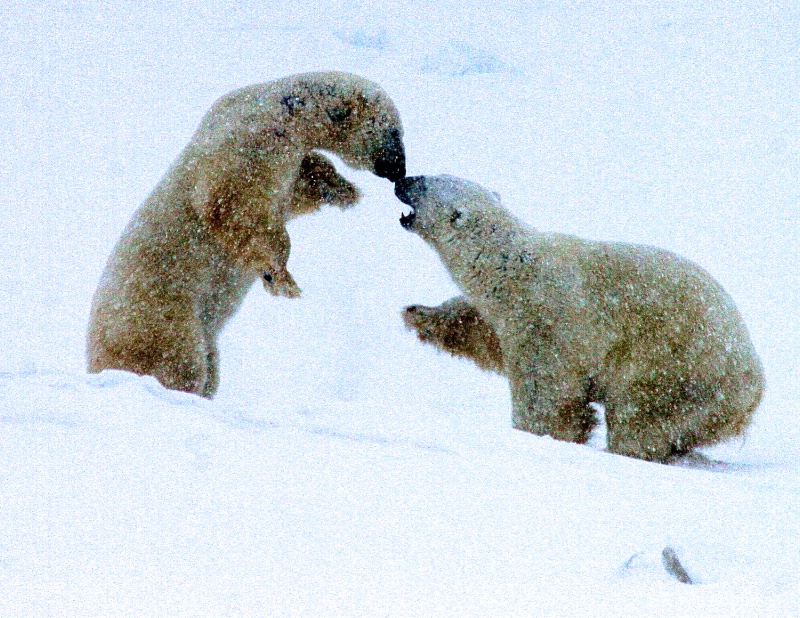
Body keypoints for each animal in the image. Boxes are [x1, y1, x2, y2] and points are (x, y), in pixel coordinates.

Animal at [86, 72, 406, 398]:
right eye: (394, 131)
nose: (399, 169)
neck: (284, 111)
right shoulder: (247, 141)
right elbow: (232, 201)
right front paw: (280, 279)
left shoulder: (283, 157)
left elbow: (296, 190)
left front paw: (344, 190)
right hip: (158, 317)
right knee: (179, 360)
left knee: (209, 363)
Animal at [396, 176, 764, 460]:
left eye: (424, 183)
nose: (402, 179)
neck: (509, 265)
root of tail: (755, 384)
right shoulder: (505, 317)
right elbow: (479, 330)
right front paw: (418, 313)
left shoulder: (545, 321)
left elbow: (546, 395)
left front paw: (538, 436)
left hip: (679, 371)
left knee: (639, 418)